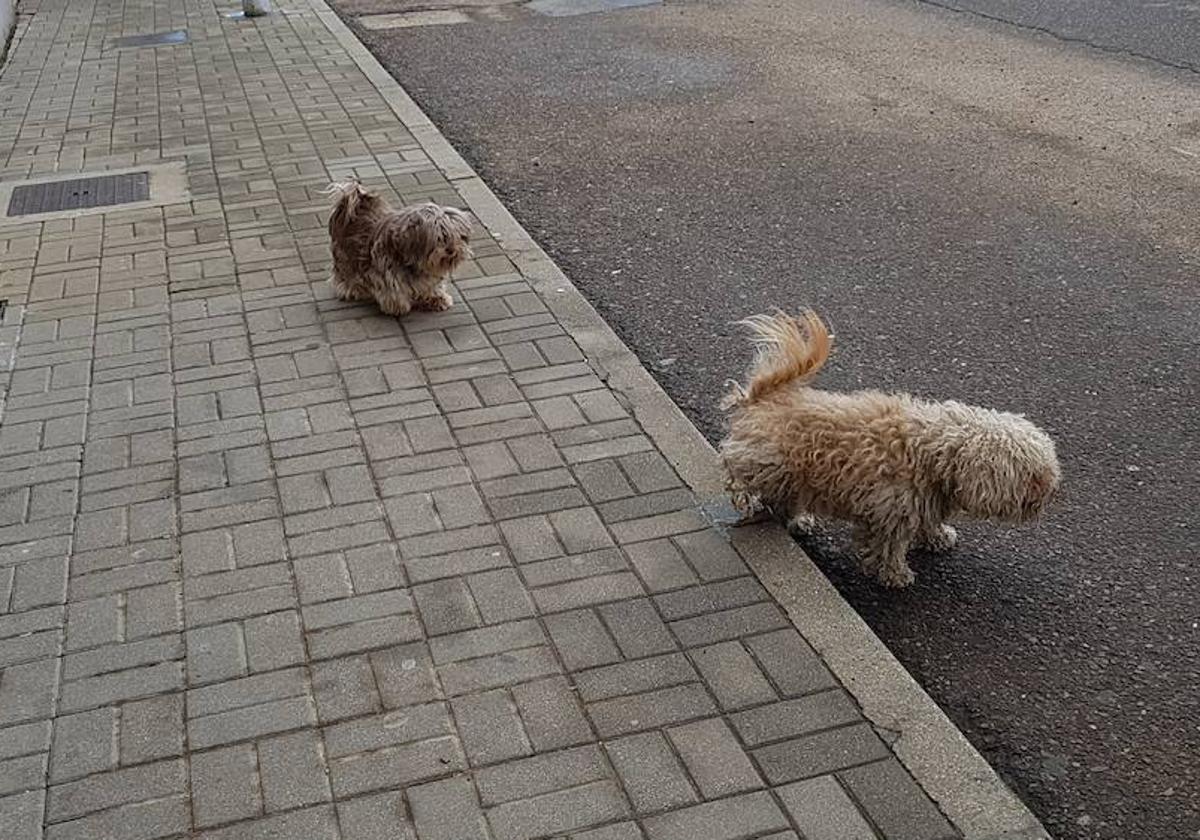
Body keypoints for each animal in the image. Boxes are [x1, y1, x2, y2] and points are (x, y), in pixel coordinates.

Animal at [324, 180, 472, 314]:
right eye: (439, 238)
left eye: (458, 237)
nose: (451, 250)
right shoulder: (386, 272)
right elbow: (393, 291)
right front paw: (398, 305)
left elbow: (431, 287)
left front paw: (437, 299)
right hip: (345, 256)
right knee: (345, 273)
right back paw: (352, 288)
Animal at [720, 312, 1060, 588]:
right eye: (1030, 474)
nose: (1049, 490)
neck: (936, 452)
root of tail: (764, 398)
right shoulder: (890, 513)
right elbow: (889, 548)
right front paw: (896, 575)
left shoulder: (922, 502)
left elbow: (928, 523)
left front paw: (937, 537)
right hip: (768, 464)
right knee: (739, 477)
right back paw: (750, 502)